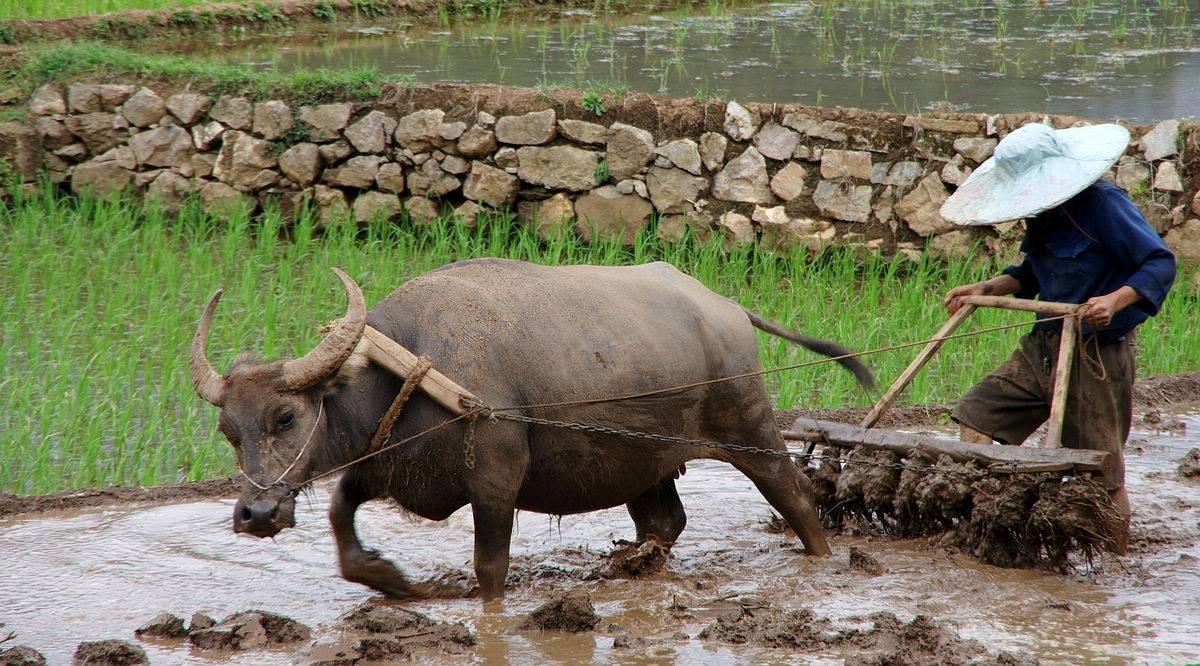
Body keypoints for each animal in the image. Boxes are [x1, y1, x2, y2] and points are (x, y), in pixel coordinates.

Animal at [192, 259, 878, 600]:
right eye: (228, 430)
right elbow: (340, 516)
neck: (409, 369)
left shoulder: (496, 483)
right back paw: (634, 568)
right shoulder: (384, 465)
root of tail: (726, 309)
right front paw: (391, 580)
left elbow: (489, 568)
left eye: (286, 415)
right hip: (644, 462)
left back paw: (825, 562)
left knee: (796, 497)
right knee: (665, 521)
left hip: (749, 427)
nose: (256, 514)